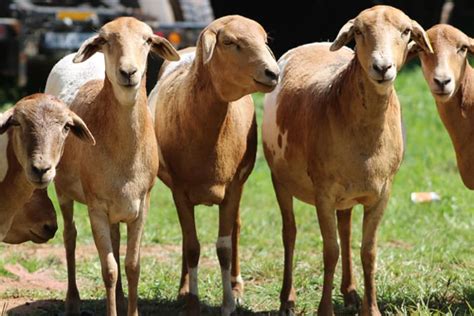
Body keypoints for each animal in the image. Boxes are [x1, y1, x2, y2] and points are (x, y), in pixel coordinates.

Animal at [45, 17, 180, 316]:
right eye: (105, 40)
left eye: (147, 40)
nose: (128, 72)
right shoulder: (96, 207)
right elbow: (109, 269)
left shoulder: (142, 205)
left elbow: (132, 265)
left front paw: (131, 309)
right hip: (63, 190)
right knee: (70, 235)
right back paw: (72, 300)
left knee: (116, 239)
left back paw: (118, 295)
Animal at [148, 14, 280, 316]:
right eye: (229, 42)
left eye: (264, 39)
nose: (273, 73)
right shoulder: (180, 191)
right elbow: (192, 245)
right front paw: (192, 302)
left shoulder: (232, 188)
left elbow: (224, 247)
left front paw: (229, 303)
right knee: (187, 239)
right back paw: (183, 289)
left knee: (237, 230)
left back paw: (237, 286)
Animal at [262, 5, 434, 316]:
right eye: (360, 32)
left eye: (405, 31)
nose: (382, 67)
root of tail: (315, 43)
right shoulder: (324, 193)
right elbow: (330, 251)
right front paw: (325, 309)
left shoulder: (382, 193)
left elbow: (368, 251)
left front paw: (371, 309)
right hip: (278, 177)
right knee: (289, 233)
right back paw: (287, 299)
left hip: (347, 194)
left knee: (345, 230)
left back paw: (351, 292)